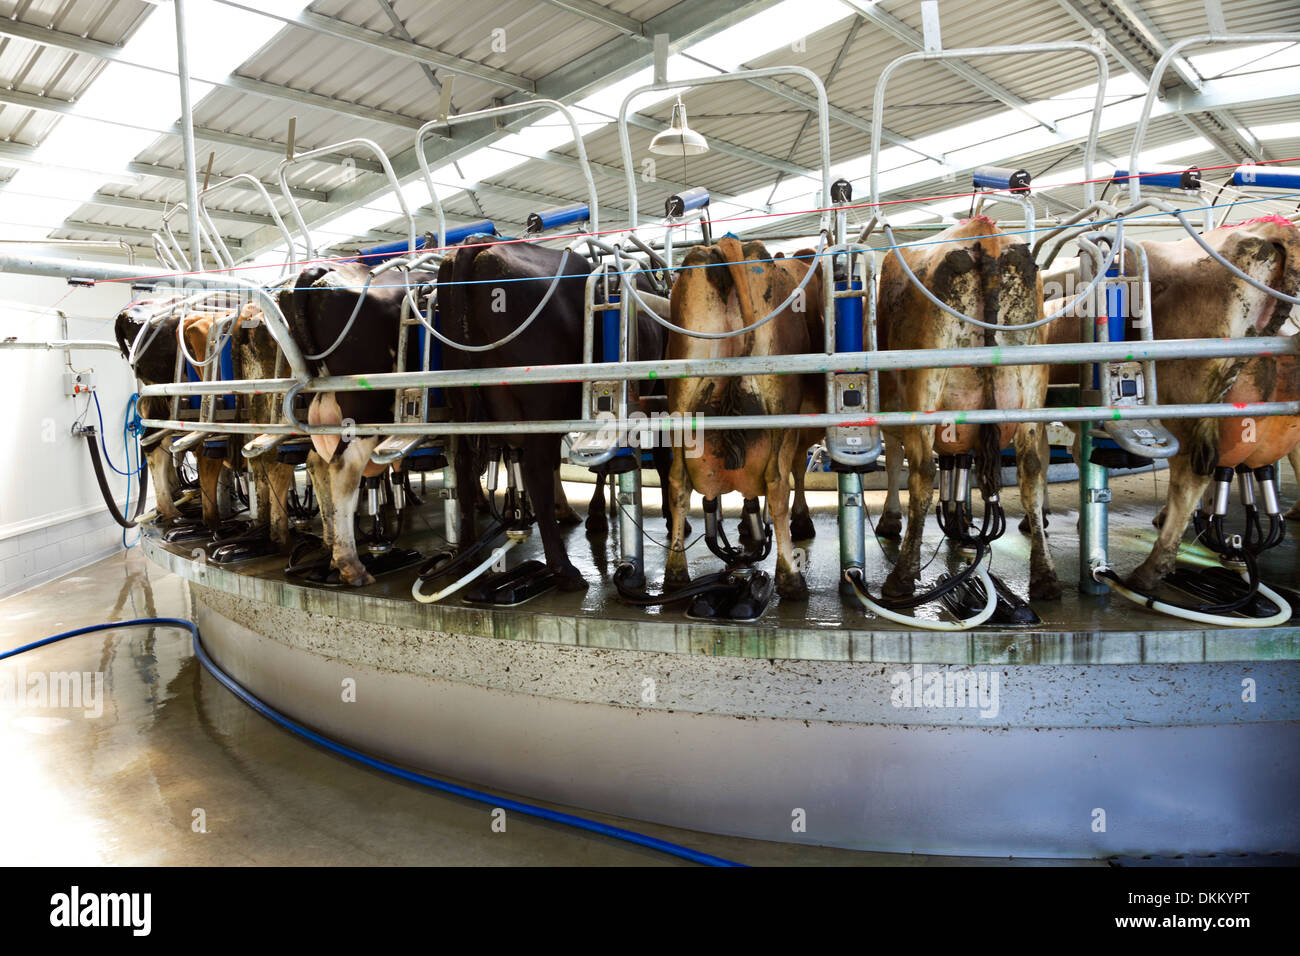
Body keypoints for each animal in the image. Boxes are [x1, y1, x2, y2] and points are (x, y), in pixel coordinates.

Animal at [660, 238, 821, 598]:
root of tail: (724, 246)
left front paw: (747, 526)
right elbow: (798, 468)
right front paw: (801, 521)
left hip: (681, 401)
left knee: (678, 481)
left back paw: (676, 573)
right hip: (780, 407)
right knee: (777, 482)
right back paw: (790, 579)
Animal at [873, 218, 1055, 606]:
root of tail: (983, 235)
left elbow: (894, 458)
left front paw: (891, 520)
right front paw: (960, 528)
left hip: (924, 382)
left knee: (922, 471)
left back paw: (902, 577)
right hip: (1033, 383)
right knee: (1032, 469)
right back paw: (1045, 576)